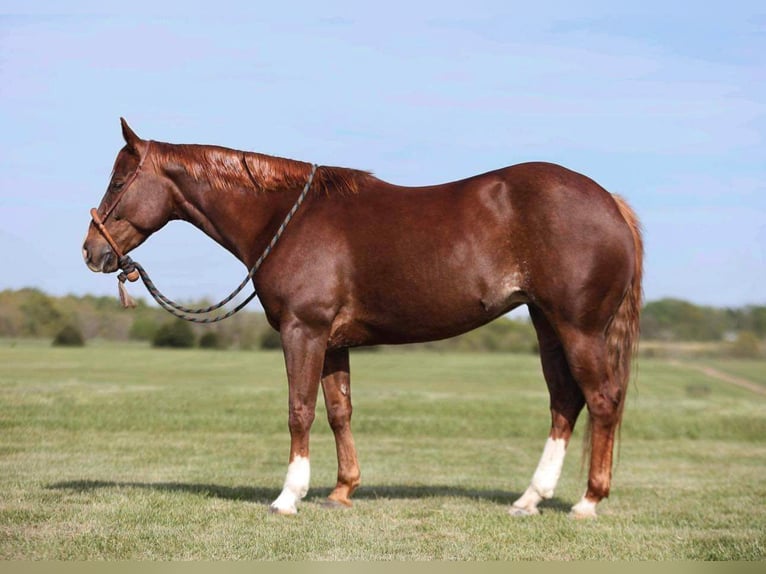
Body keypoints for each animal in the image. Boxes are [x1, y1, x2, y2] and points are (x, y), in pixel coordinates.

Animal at [84, 119, 644, 520]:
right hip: (547, 324)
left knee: (602, 399)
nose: (92, 252)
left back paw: (587, 502)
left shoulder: (303, 331)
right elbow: (339, 411)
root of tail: (610, 203)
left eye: (118, 180)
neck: (287, 218)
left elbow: (299, 411)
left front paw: (288, 497)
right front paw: (341, 490)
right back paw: (530, 499)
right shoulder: (333, 342)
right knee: (565, 402)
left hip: (579, 328)